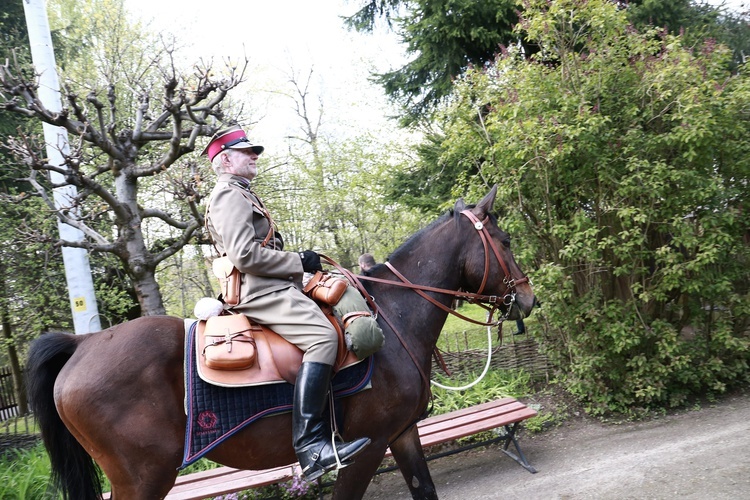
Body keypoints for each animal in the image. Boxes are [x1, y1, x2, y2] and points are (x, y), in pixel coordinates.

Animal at [26, 187, 536, 500]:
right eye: (506, 239)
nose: (528, 299)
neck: (393, 318)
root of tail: (82, 345)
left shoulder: (402, 434)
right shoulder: (367, 448)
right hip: (145, 478)